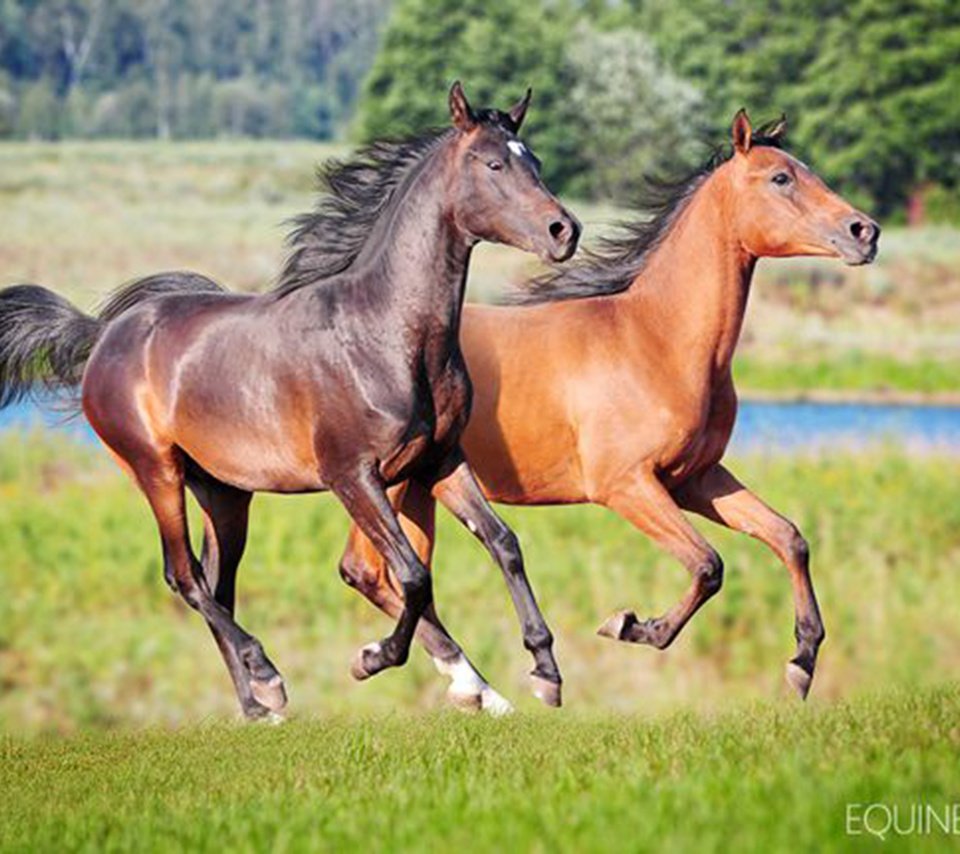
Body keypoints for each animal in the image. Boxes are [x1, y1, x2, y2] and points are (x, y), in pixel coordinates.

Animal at [0, 83, 576, 720]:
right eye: (493, 164)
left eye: (536, 161)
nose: (563, 231)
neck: (385, 332)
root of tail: (103, 334)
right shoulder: (353, 476)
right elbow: (411, 574)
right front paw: (372, 658)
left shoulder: (440, 461)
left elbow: (504, 543)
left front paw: (543, 673)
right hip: (156, 471)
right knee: (184, 576)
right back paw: (267, 676)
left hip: (224, 492)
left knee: (217, 581)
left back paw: (257, 706)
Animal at [338, 113, 876, 716]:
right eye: (781, 178)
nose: (865, 232)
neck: (657, 341)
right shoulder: (626, 486)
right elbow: (708, 564)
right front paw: (630, 625)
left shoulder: (695, 479)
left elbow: (788, 537)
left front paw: (801, 663)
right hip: (387, 483)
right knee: (369, 570)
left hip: (419, 485)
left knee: (394, 575)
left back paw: (470, 686)